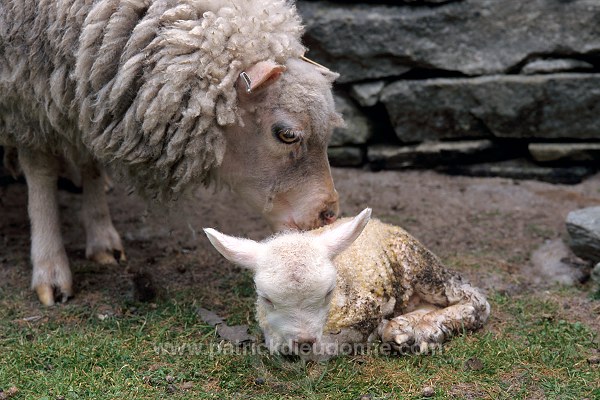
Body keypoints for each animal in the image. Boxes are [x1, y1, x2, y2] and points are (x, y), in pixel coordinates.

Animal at [1, 0, 342, 304]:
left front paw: (101, 238)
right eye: (287, 134)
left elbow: (91, 163)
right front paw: (50, 268)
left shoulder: (81, 98)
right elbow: (40, 171)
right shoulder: (26, 98)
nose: (328, 214)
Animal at [204, 209, 490, 360]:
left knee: (475, 301)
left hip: (420, 266)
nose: (305, 340)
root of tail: (383, 223)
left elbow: (330, 347)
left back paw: (422, 329)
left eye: (329, 292)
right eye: (266, 299)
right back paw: (408, 329)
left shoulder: (365, 312)